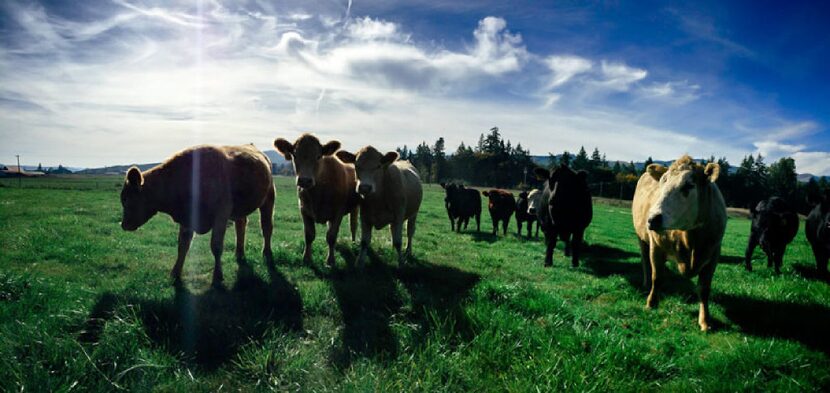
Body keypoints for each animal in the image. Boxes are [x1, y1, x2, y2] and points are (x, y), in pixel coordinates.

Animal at [118, 144, 274, 284]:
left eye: (127, 198)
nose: (124, 225)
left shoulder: (221, 215)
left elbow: (216, 246)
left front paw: (217, 275)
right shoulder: (186, 219)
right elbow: (183, 246)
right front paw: (175, 273)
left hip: (269, 199)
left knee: (266, 227)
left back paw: (266, 253)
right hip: (240, 210)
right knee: (241, 226)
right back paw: (239, 253)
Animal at [276, 133, 360, 264]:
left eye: (318, 156)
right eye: (295, 155)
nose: (305, 180)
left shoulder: (338, 212)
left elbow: (331, 236)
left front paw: (330, 260)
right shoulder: (304, 210)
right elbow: (309, 235)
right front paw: (306, 258)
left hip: (355, 207)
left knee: (353, 225)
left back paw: (353, 243)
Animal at [632, 155, 724, 330]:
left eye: (689, 185)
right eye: (662, 183)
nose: (652, 219)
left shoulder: (714, 254)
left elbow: (704, 289)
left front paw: (705, 321)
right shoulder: (656, 246)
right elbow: (657, 277)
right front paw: (651, 303)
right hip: (642, 239)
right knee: (645, 261)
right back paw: (646, 284)